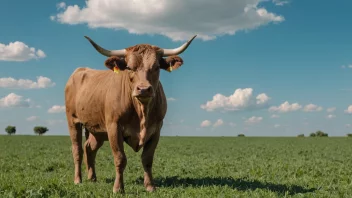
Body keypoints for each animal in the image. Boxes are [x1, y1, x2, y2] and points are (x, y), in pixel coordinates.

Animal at [63, 34, 195, 193]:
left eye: (156, 67)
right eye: (130, 68)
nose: (143, 89)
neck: (141, 112)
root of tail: (81, 70)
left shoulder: (156, 130)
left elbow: (147, 159)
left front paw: (150, 186)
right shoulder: (114, 127)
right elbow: (120, 158)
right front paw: (118, 188)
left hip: (97, 130)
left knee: (89, 148)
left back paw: (92, 178)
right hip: (73, 121)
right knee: (77, 150)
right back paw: (78, 180)